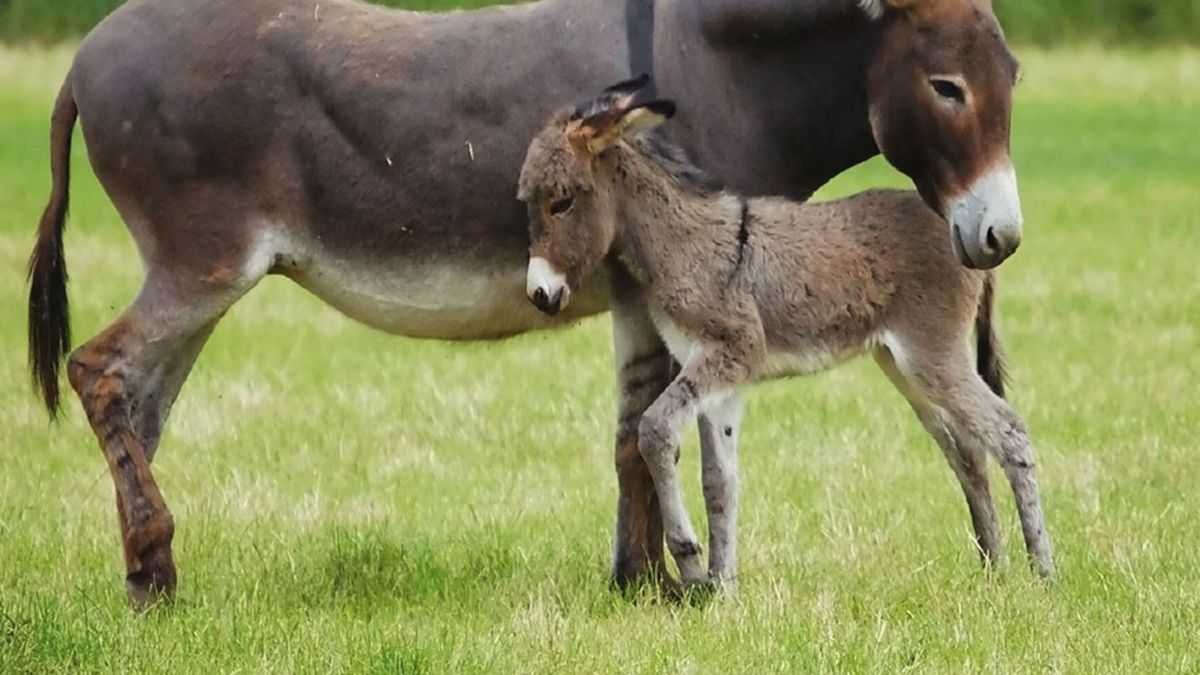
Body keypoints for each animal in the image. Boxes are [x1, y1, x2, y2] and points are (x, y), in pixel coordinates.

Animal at [520, 77, 1056, 583]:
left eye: (562, 203)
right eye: (529, 202)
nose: (539, 295)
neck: (683, 244)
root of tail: (965, 243)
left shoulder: (731, 353)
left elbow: (653, 430)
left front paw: (690, 561)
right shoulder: (717, 375)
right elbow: (719, 482)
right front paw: (721, 588)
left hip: (934, 356)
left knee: (1009, 433)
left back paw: (1042, 572)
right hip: (905, 365)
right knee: (968, 450)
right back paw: (994, 567)